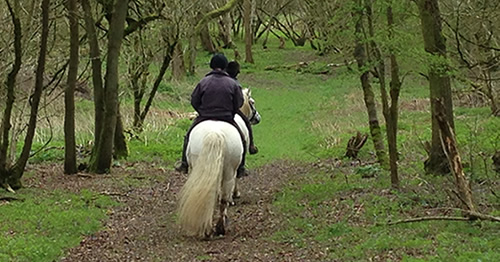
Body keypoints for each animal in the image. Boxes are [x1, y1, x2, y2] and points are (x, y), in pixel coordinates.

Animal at [177, 88, 262, 237]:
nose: (258, 118)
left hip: (197, 168)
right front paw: (235, 195)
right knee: (224, 197)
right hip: (229, 170)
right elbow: (237, 179)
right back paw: (220, 227)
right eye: (252, 102)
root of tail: (215, 133)